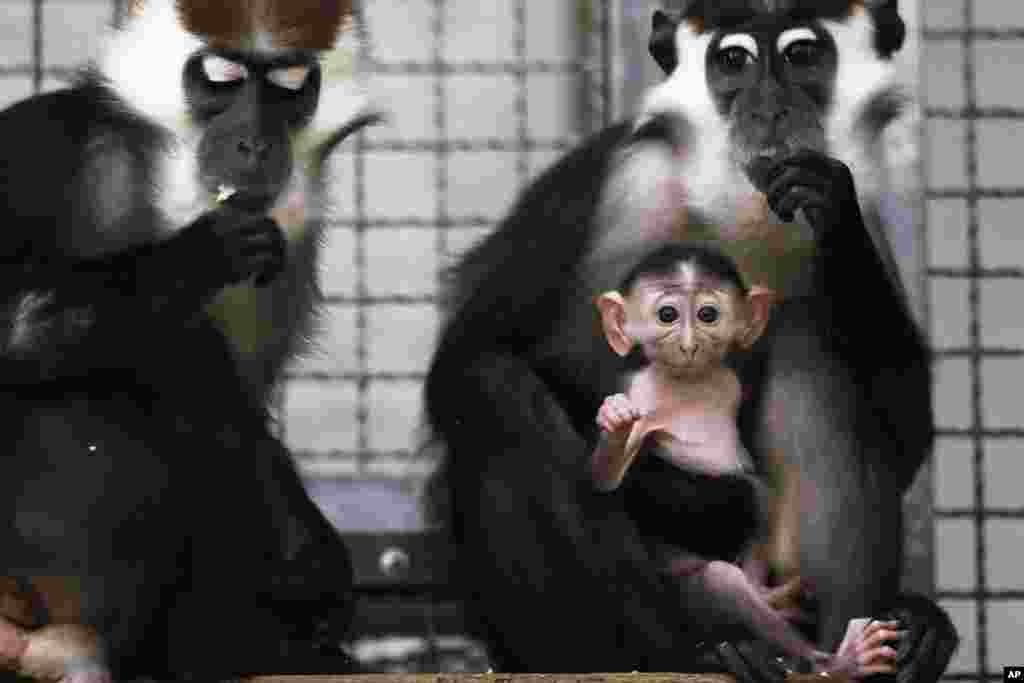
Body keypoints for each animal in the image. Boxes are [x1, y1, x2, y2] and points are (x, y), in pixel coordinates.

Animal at [593, 244, 905, 679]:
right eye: (667, 314)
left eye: (708, 314)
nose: (689, 345)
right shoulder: (637, 390)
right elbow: (606, 478)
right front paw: (615, 426)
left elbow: (759, 485)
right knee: (720, 580)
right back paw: (834, 660)